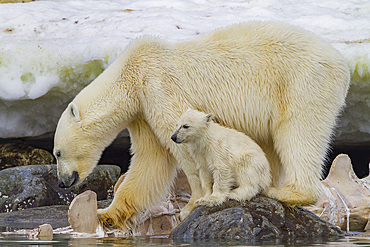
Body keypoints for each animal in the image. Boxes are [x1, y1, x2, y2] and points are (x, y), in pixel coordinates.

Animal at [54, 21, 350, 230]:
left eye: (57, 152)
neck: (131, 74)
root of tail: (341, 63)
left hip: (302, 82)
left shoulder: (158, 87)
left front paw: (192, 205)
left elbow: (182, 146)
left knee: (299, 134)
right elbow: (151, 161)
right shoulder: (142, 113)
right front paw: (107, 214)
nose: (62, 182)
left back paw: (286, 192)